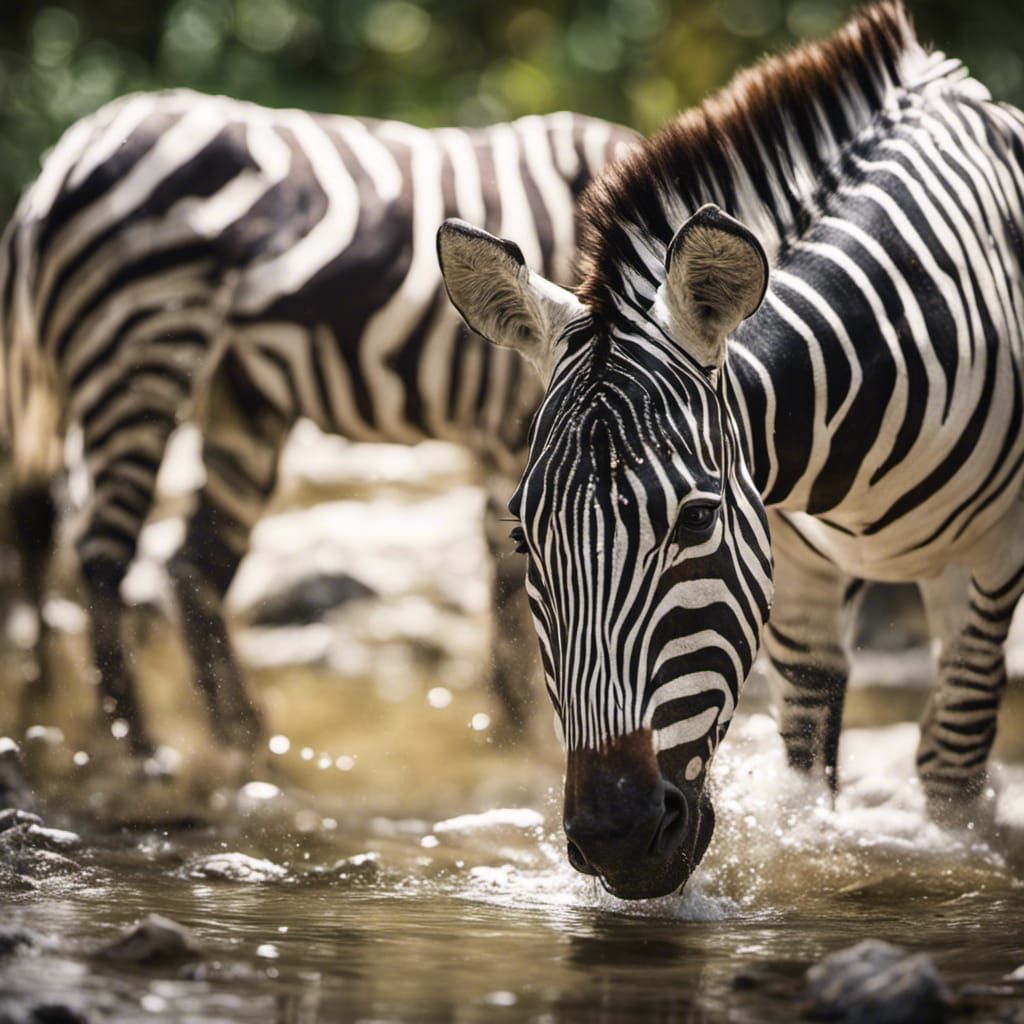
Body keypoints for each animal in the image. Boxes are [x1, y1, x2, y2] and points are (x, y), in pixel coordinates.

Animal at [2, 88, 638, 757]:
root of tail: (63, 159)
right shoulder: (521, 421)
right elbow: (521, 593)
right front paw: (530, 745)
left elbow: (516, 590)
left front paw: (515, 734)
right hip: (141, 348)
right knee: (102, 556)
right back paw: (143, 749)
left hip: (235, 397)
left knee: (181, 562)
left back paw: (243, 742)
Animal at [440, 0, 1024, 897]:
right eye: (522, 537)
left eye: (695, 520)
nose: (615, 839)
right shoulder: (795, 562)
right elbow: (804, 770)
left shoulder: (995, 553)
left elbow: (952, 770)